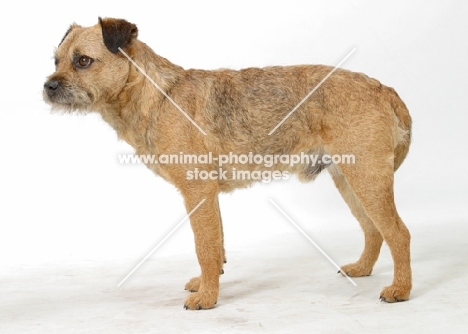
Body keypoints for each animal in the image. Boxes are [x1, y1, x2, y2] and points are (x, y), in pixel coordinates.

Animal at [42, 17, 412, 310]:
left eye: (83, 61)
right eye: (56, 60)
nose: (48, 86)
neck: (158, 96)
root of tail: (383, 88)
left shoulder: (197, 192)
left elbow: (204, 246)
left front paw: (207, 298)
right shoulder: (209, 196)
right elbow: (217, 242)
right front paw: (209, 283)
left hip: (366, 178)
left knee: (398, 232)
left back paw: (401, 289)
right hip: (349, 180)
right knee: (373, 229)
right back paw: (362, 268)